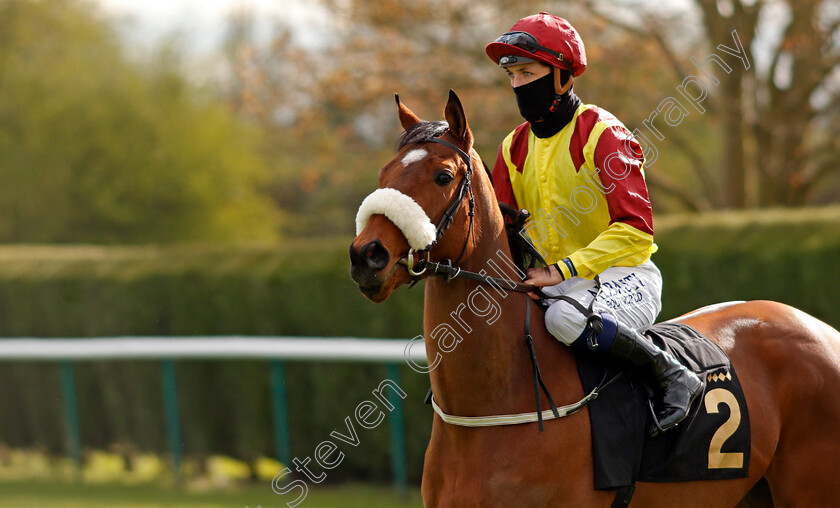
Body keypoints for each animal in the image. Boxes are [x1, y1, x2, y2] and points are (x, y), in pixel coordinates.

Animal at [348, 92, 840, 508]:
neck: (494, 405)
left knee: (575, 317)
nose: (366, 256)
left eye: (443, 176)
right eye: (383, 176)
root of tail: (821, 331)